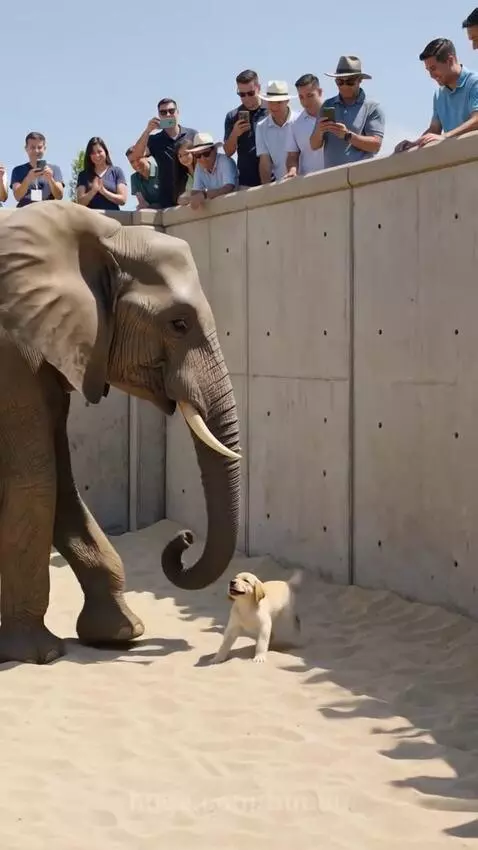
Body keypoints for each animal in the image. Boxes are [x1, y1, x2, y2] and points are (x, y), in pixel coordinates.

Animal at [0, 200, 241, 665]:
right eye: (179, 324)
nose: (184, 539)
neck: (104, 233)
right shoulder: (11, 355)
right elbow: (36, 481)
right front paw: (38, 654)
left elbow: (62, 483)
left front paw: (120, 634)